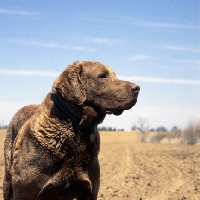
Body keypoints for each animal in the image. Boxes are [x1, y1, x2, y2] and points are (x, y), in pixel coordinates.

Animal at [2, 61, 139, 200]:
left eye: (115, 75)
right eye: (102, 76)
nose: (137, 88)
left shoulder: (90, 192)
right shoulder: (24, 192)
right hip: (7, 178)